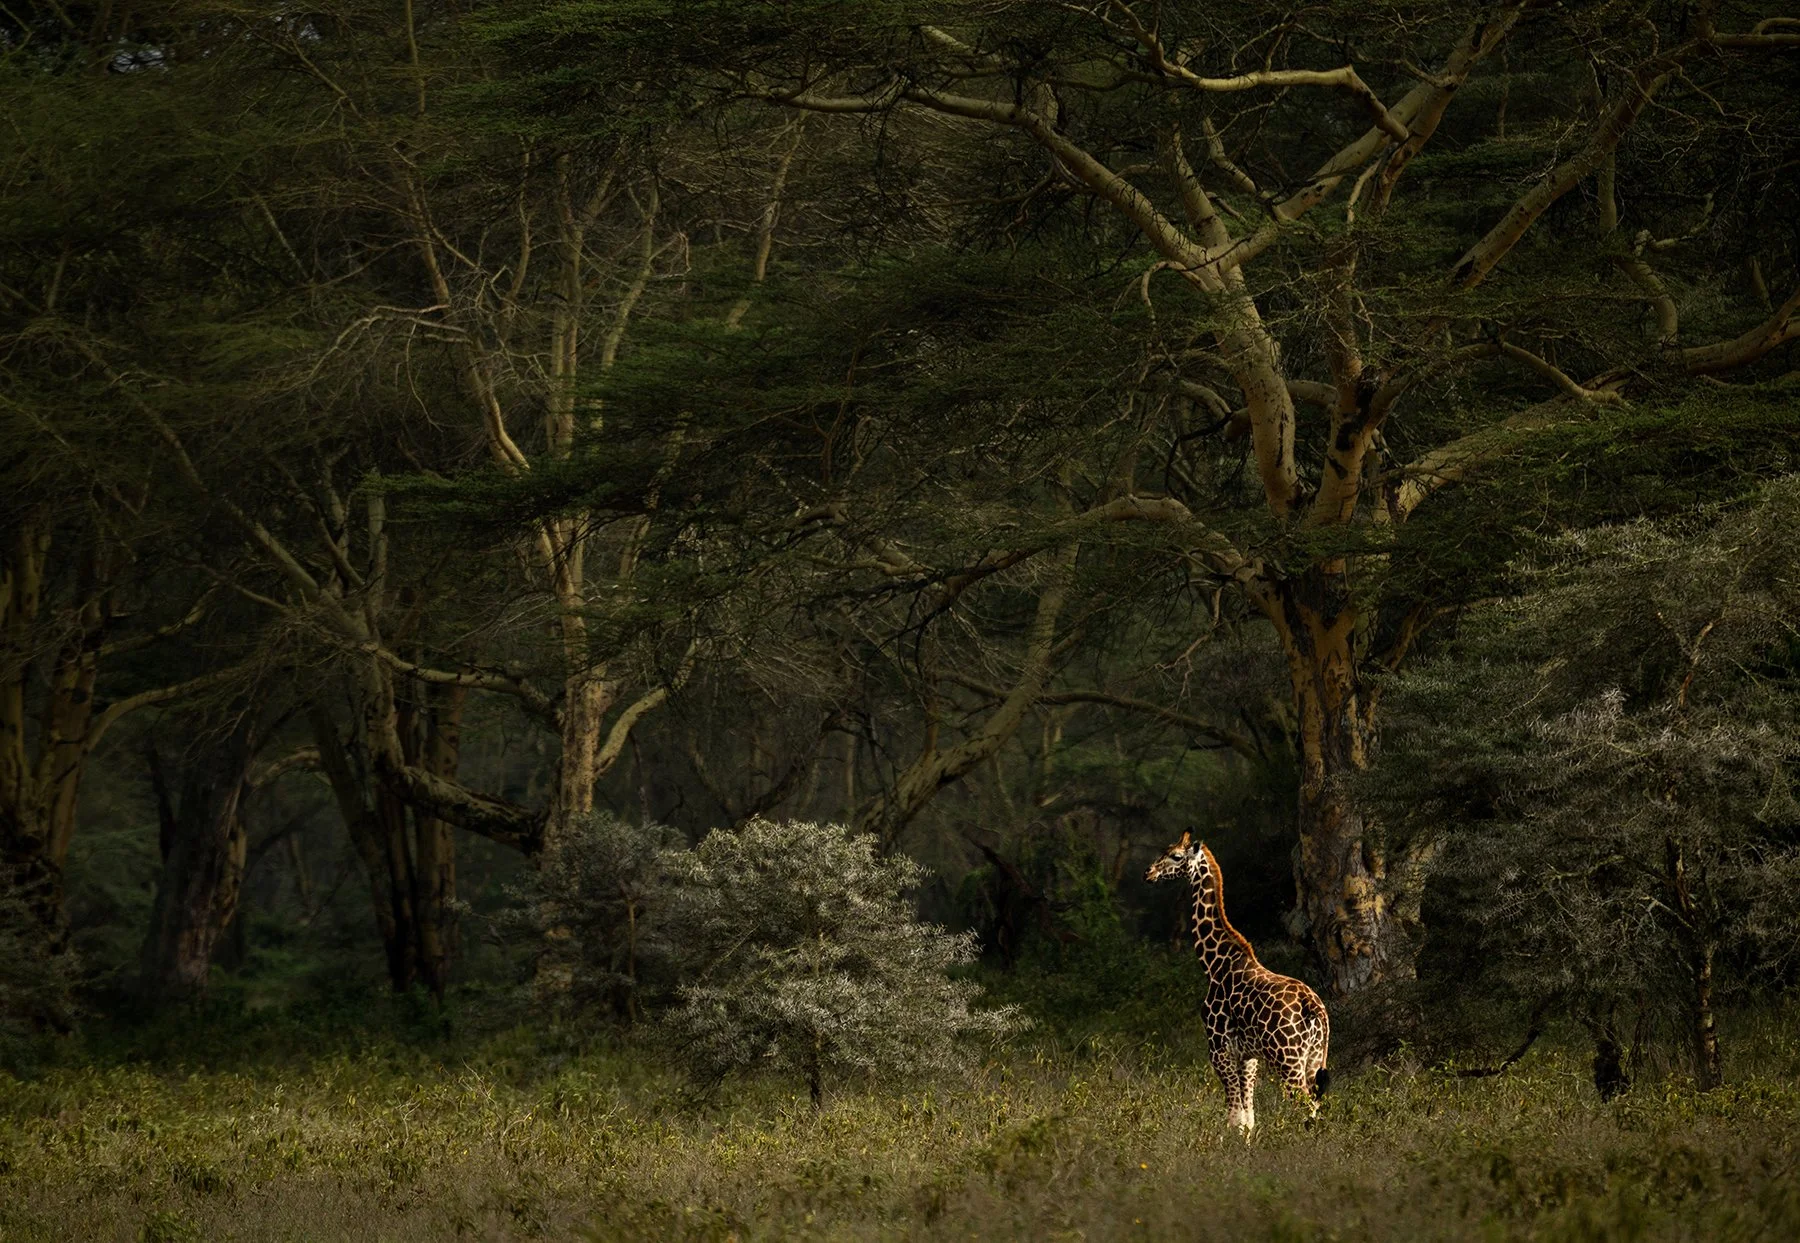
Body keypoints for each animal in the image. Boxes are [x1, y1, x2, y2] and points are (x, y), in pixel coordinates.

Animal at [1146, 832, 1330, 1137]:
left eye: (1175, 856)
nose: (1149, 873)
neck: (1214, 964)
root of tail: (1313, 1008)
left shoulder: (1219, 1050)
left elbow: (1234, 1119)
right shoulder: (1248, 1058)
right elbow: (1248, 1119)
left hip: (1287, 1059)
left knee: (1306, 1108)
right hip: (1315, 1057)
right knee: (1315, 1107)